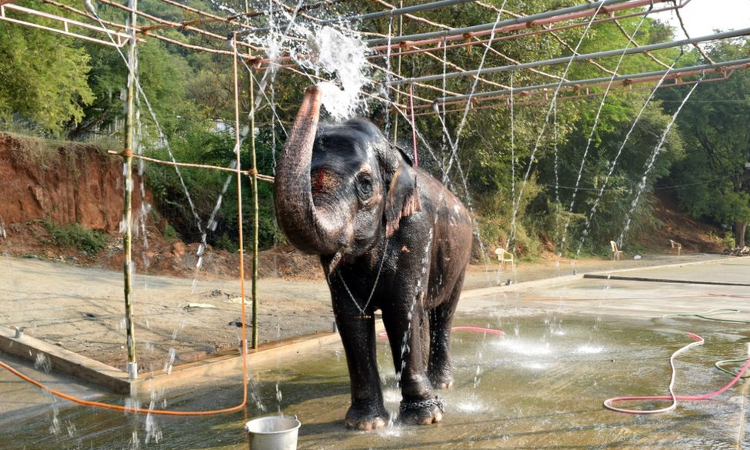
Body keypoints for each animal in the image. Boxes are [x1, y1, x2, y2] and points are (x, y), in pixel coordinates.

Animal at [273, 85, 473, 430]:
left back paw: (441, 382)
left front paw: (424, 418)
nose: (315, 88)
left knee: (444, 313)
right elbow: (351, 316)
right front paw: (366, 424)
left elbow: (401, 308)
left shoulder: (417, 229)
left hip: (461, 256)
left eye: (366, 185)